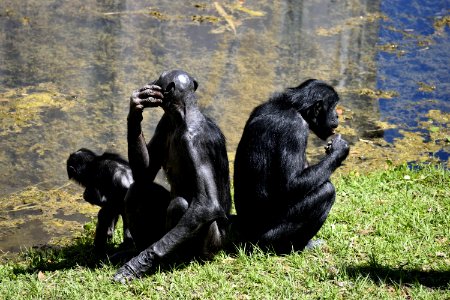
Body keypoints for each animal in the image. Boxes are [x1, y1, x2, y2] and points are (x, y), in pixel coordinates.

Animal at [112, 69, 232, 282]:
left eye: (159, 78)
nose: (151, 82)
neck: (183, 116)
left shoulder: (195, 143)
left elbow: (207, 203)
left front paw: (138, 265)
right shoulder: (164, 123)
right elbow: (145, 173)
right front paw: (135, 108)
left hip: (212, 246)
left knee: (180, 205)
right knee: (137, 190)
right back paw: (137, 249)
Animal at [234, 78, 350, 254]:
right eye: (334, 107)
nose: (337, 115)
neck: (296, 108)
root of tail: (246, 238)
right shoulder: (295, 129)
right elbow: (292, 184)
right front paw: (339, 150)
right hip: (269, 237)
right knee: (326, 191)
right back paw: (298, 247)